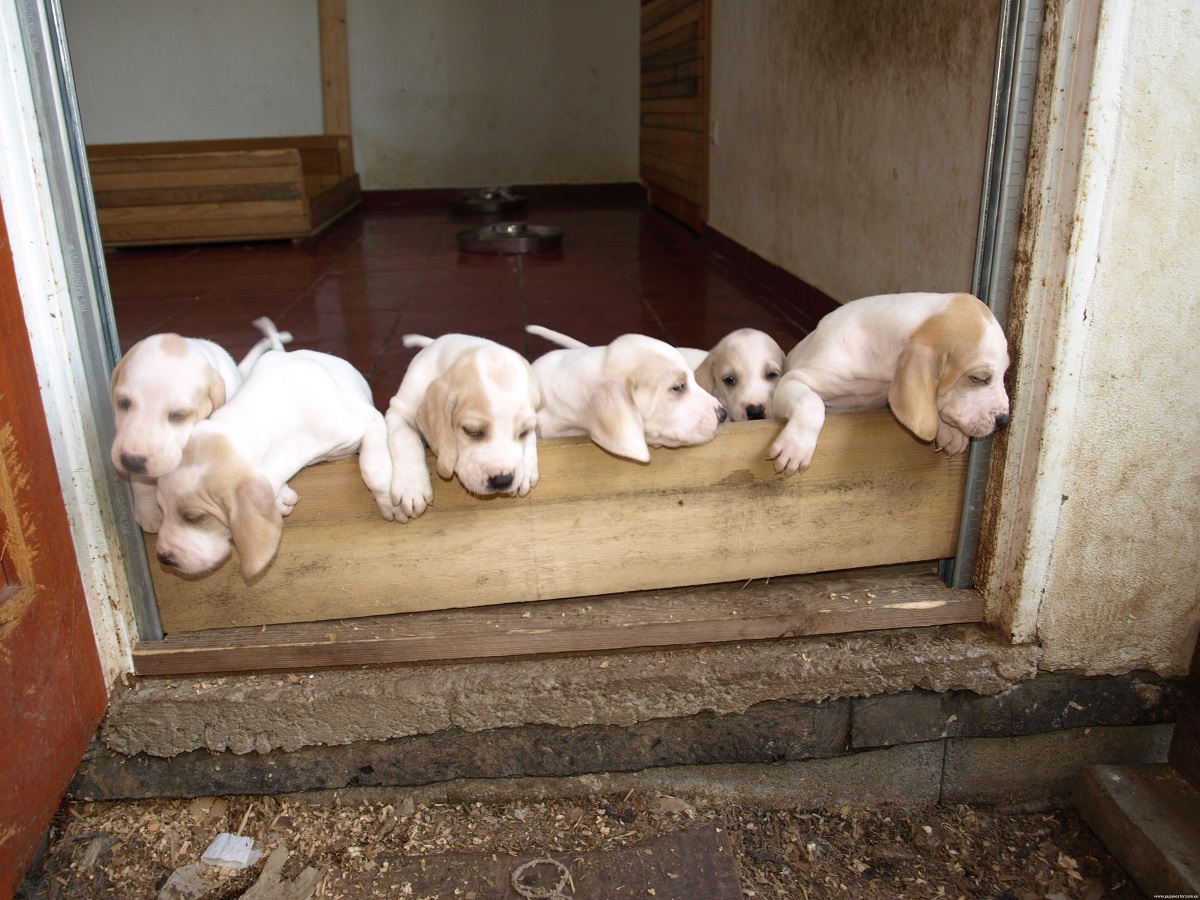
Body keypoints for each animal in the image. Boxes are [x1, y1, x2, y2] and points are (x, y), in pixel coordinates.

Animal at [152, 348, 391, 580]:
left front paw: (387, 501)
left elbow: (373, 469)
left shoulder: (368, 419)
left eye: (194, 518)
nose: (163, 558)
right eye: (161, 509)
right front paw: (281, 498)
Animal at [386, 336, 542, 520]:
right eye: (472, 431)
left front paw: (527, 470)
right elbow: (406, 440)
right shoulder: (398, 412)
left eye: (523, 432)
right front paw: (411, 486)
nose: (502, 480)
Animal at [763, 294, 1008, 480]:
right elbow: (812, 402)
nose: (1004, 421)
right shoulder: (793, 380)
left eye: (1005, 373)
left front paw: (952, 433)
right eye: (978, 378)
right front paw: (795, 447)